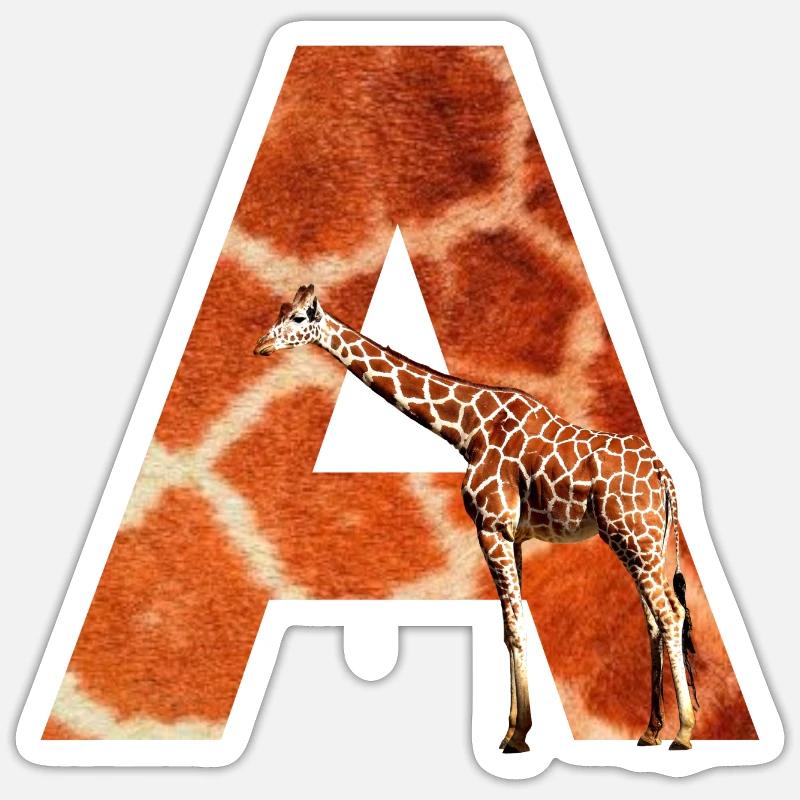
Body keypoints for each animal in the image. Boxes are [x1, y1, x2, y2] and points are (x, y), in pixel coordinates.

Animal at [254, 284, 698, 753]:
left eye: (299, 318)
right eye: (281, 310)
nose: (260, 346)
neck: (468, 428)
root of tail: (663, 474)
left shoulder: (491, 527)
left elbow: (513, 627)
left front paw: (517, 735)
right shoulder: (513, 536)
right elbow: (510, 624)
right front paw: (512, 730)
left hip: (633, 538)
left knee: (670, 615)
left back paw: (683, 733)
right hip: (642, 542)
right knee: (655, 619)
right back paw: (650, 731)